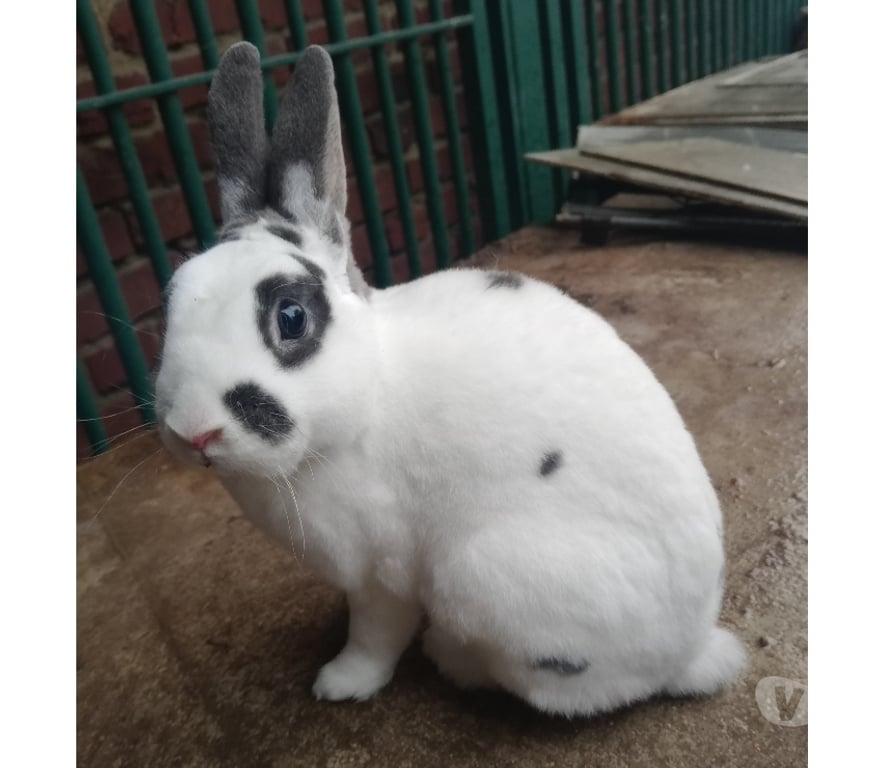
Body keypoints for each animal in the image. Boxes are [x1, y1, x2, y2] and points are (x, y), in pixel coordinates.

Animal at [154, 42, 746, 717]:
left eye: (292, 317)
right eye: (170, 300)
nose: (194, 432)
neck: (368, 395)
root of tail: (692, 649)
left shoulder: (381, 571)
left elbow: (375, 634)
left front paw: (340, 683)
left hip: (483, 576)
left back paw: (454, 659)